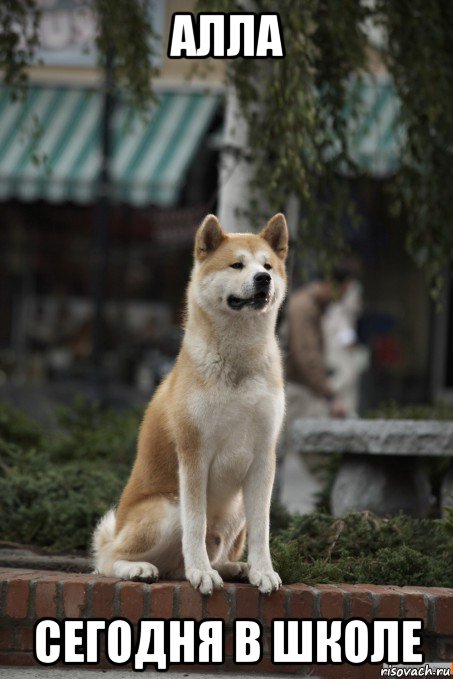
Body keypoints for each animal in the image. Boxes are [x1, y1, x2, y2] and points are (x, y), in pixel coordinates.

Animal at [93, 212, 288, 596]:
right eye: (237, 264)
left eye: (268, 266)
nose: (263, 279)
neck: (237, 364)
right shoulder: (194, 454)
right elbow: (195, 526)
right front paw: (201, 573)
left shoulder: (263, 457)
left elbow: (262, 530)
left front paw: (263, 571)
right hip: (167, 508)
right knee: (108, 560)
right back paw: (142, 568)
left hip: (236, 509)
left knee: (203, 558)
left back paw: (235, 568)